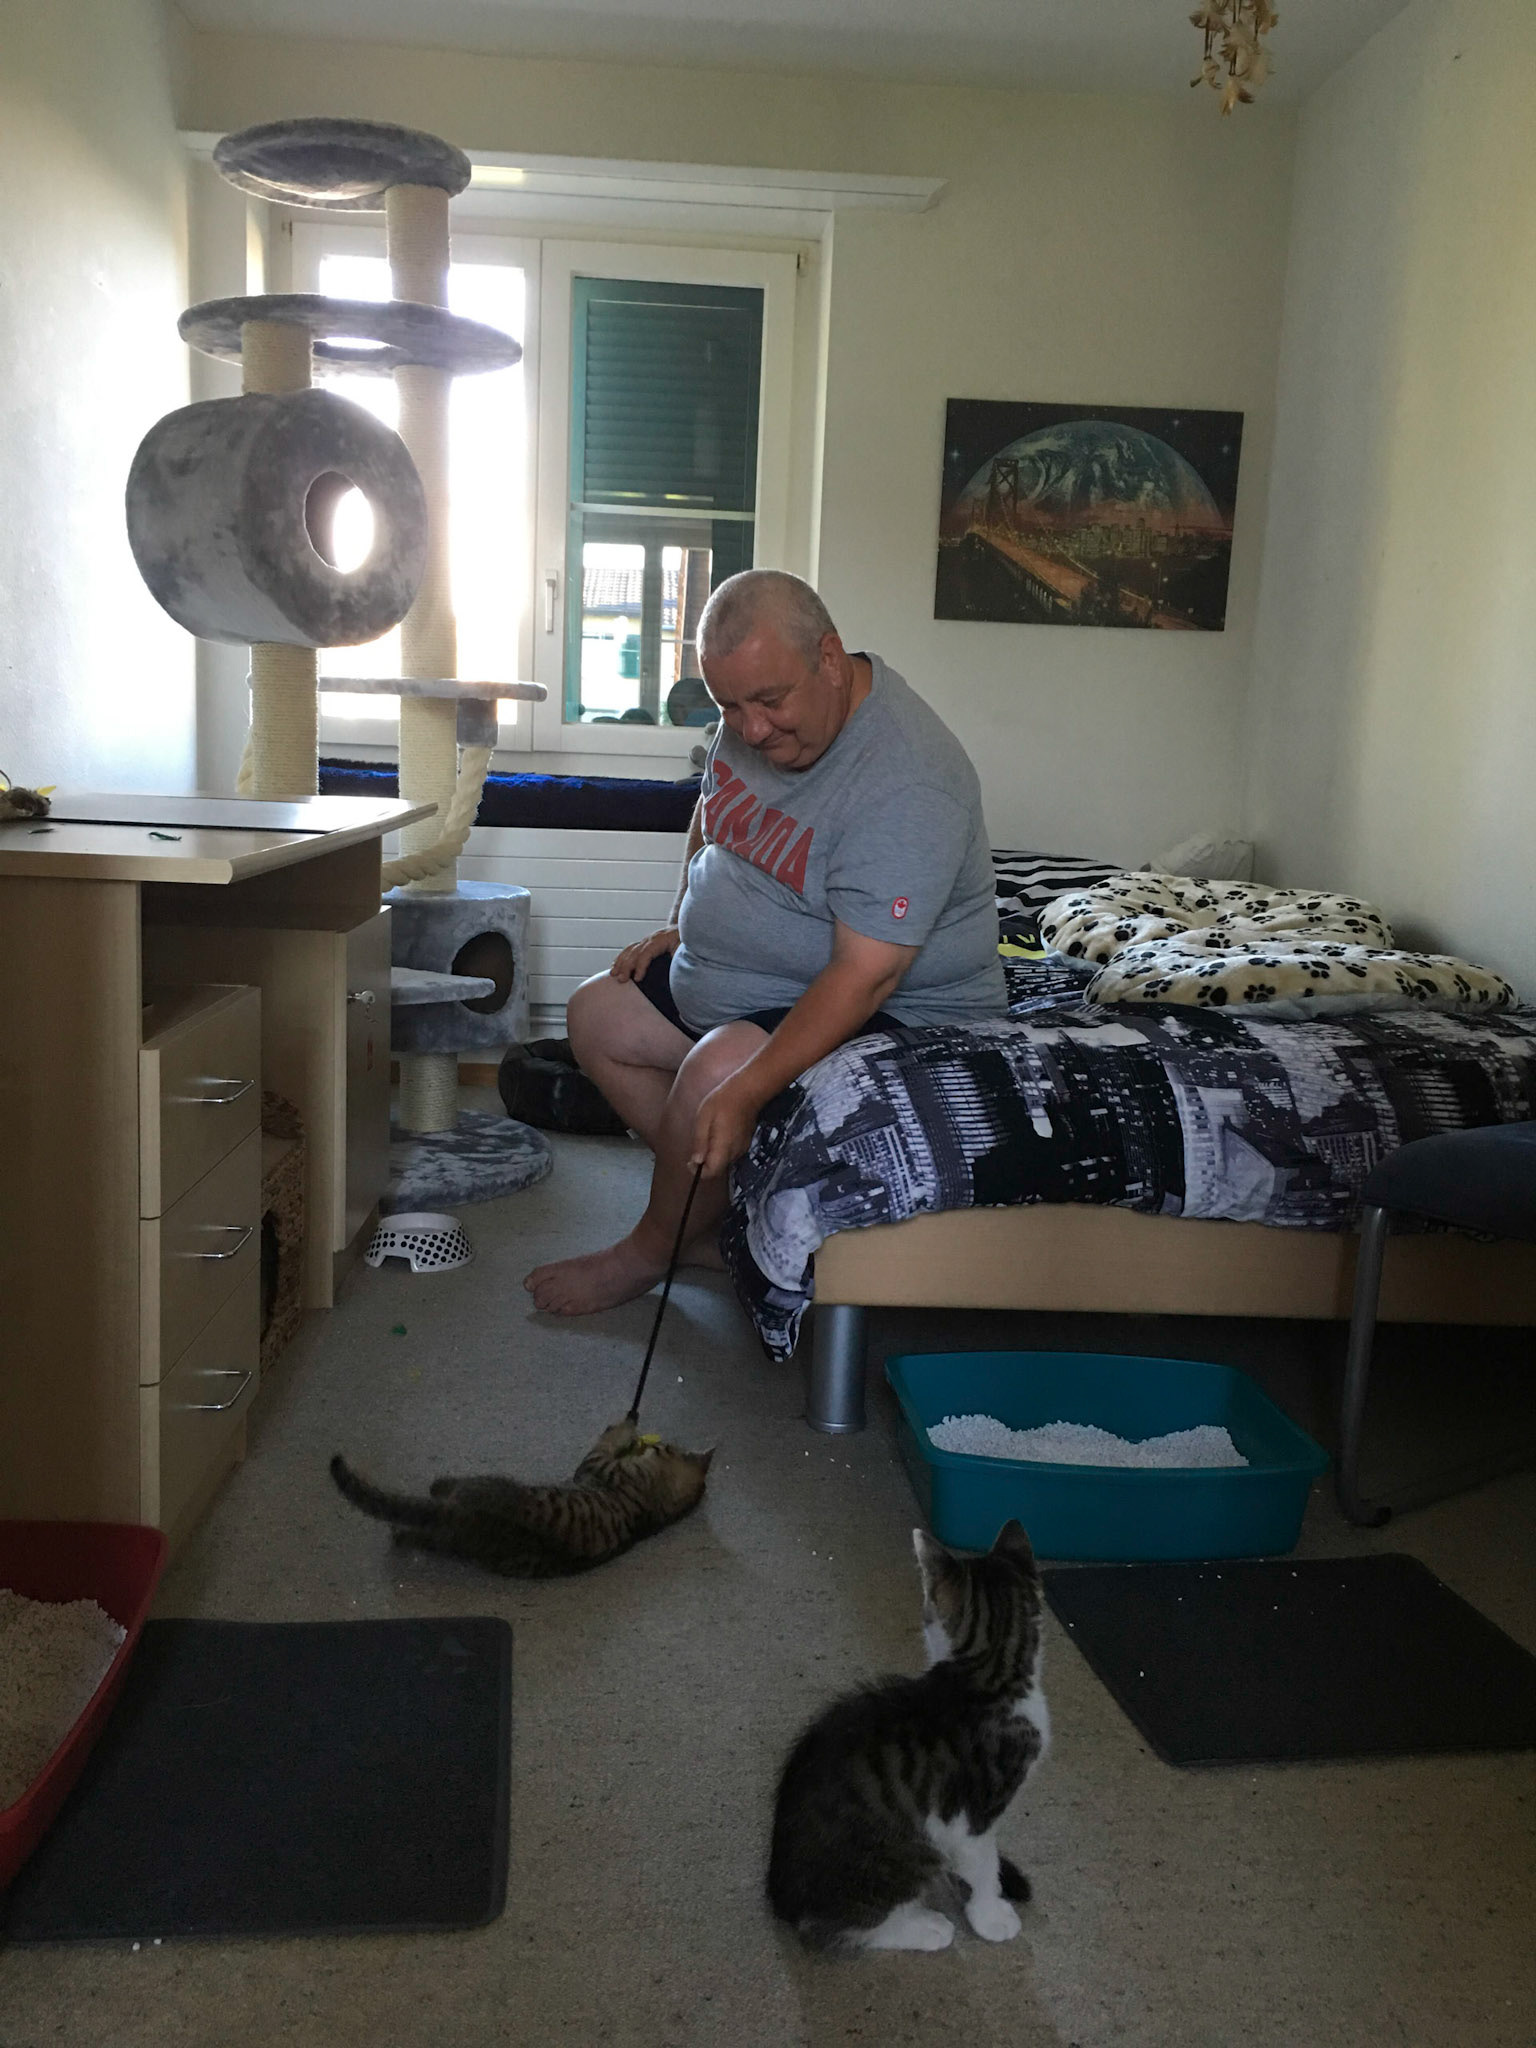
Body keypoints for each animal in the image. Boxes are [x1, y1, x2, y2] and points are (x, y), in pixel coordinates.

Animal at [330, 1417, 713, 1578]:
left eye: (664, 1447)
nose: (650, 1442)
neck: (657, 1503)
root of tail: (460, 1514)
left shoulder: (597, 1466)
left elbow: (606, 1441)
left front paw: (626, 1427)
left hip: (470, 1493)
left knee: (426, 1516)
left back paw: (432, 1492)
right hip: (454, 1543)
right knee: (424, 1538)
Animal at [767, 1518, 1048, 1953]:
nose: (924, 1621)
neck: (988, 1677)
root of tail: (782, 1900)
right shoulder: (970, 1815)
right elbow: (983, 1863)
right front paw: (991, 1914)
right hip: (909, 1851)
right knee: (829, 1929)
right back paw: (922, 1927)